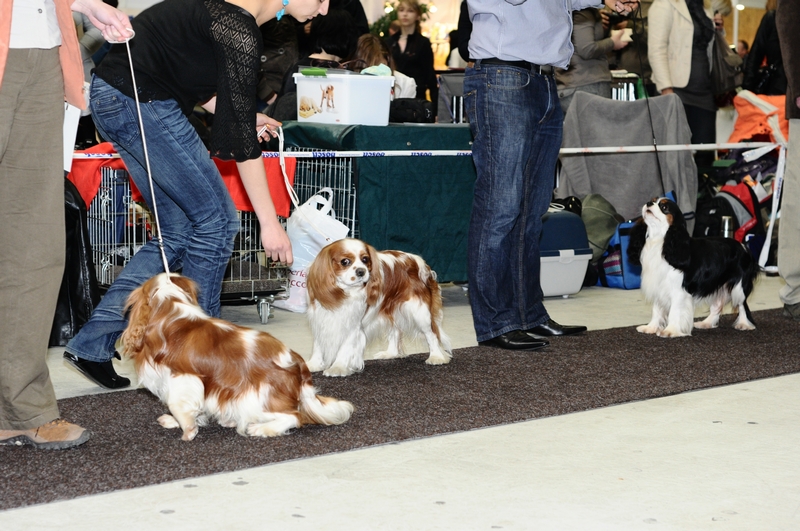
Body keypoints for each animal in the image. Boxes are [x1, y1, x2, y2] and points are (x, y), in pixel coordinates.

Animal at [120, 273, 353, 440]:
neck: (171, 308)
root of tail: (297, 364)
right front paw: (177, 422)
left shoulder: (182, 378)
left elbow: (179, 405)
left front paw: (187, 430)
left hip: (258, 398)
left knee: (295, 417)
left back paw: (263, 429)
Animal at [306, 238, 452, 377]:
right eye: (345, 261)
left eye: (365, 260)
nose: (361, 271)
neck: (343, 292)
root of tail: (419, 261)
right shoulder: (319, 318)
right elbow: (317, 346)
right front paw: (314, 364)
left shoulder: (353, 324)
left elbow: (345, 347)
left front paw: (338, 367)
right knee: (395, 330)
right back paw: (390, 353)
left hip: (419, 312)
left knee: (431, 333)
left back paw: (436, 357)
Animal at [627, 197, 759, 338]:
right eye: (651, 201)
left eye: (664, 207)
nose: (648, 204)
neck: (660, 241)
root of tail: (744, 247)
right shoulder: (658, 287)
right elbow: (656, 310)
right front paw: (651, 327)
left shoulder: (679, 291)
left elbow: (674, 311)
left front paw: (670, 331)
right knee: (717, 306)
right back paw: (706, 323)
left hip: (739, 288)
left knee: (742, 305)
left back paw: (744, 324)